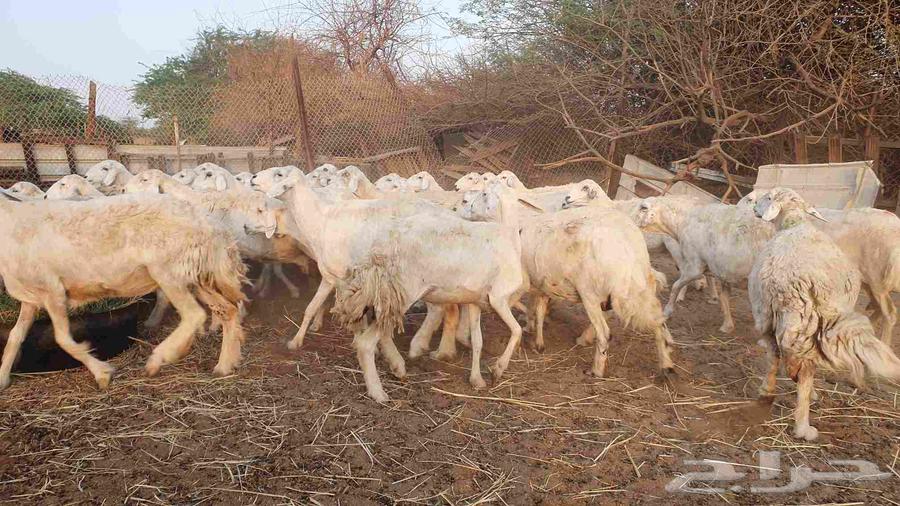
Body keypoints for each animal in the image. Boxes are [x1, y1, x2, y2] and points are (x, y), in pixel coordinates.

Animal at [0, 193, 249, 390]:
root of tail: (212, 226)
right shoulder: (32, 297)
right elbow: (15, 336)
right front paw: (3, 379)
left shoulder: (53, 291)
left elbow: (62, 339)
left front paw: (102, 373)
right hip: (194, 274)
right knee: (227, 310)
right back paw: (224, 365)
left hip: (168, 271)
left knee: (194, 315)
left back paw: (158, 359)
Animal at [637, 196, 774, 333]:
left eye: (643, 208)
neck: (683, 220)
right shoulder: (724, 272)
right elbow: (724, 298)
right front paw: (727, 325)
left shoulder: (694, 266)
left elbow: (676, 286)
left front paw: (667, 311)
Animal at [749, 188, 900, 441]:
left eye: (768, 197)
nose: (753, 209)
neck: (795, 223)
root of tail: (792, 284)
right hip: (818, 315)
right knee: (807, 367)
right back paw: (804, 425)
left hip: (768, 312)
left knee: (774, 353)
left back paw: (767, 393)